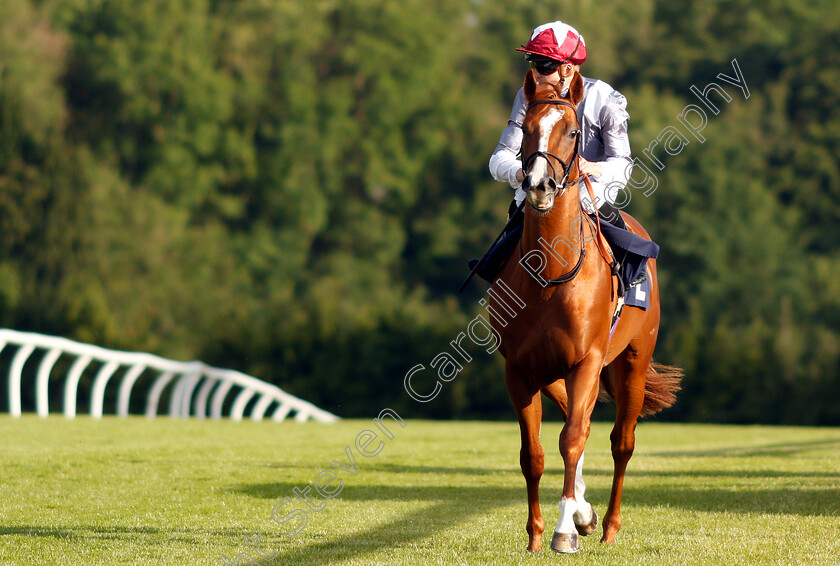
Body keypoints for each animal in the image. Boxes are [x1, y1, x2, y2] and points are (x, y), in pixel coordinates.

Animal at [492, 71, 684, 556]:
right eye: (526, 128)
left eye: (573, 131)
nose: (539, 185)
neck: (549, 274)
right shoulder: (520, 369)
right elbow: (535, 453)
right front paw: (538, 533)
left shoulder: (587, 360)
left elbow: (574, 440)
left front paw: (563, 531)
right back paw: (585, 512)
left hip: (632, 360)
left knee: (620, 442)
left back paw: (611, 525)